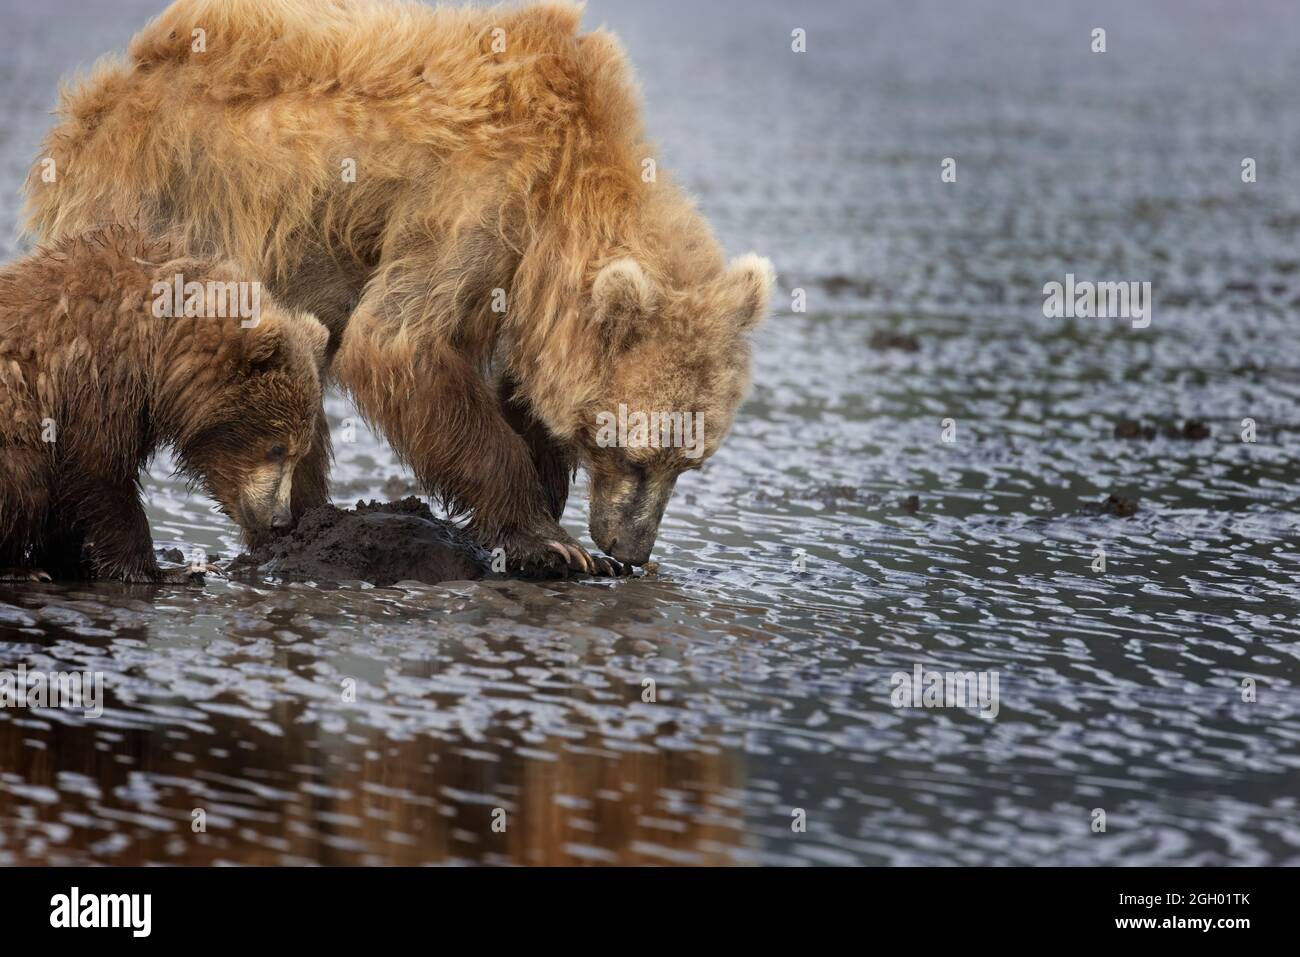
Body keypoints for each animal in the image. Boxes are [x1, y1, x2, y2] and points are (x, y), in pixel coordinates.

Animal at [25, 0, 769, 574]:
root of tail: (95, 100)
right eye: (634, 455)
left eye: (690, 460)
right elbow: (396, 340)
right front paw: (551, 540)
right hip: (166, 207)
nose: (631, 546)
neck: (563, 190)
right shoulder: (474, 199)